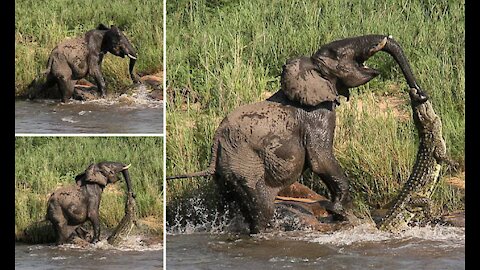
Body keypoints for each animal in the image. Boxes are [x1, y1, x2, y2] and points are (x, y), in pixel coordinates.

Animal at [168, 34, 428, 234]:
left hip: (227, 172)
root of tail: (216, 144)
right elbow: (321, 160)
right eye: (337, 54)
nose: (419, 94)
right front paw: (340, 213)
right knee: (262, 209)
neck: (309, 68)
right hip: (245, 165)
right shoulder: (317, 115)